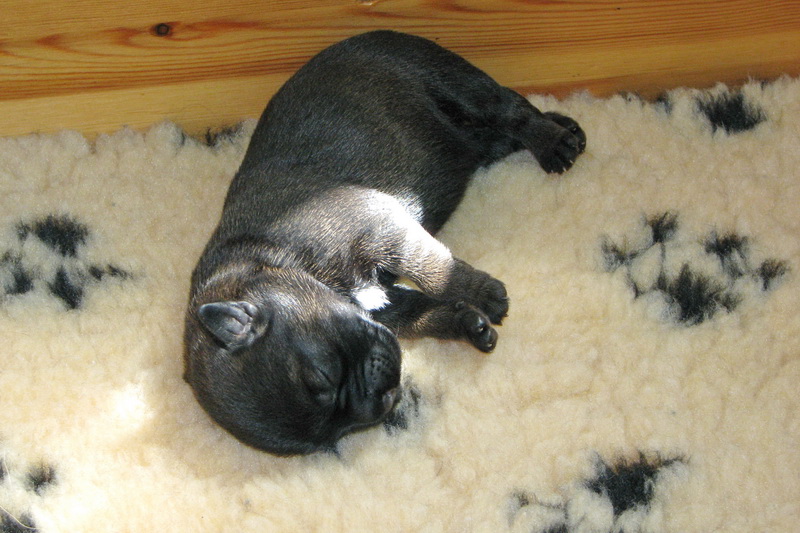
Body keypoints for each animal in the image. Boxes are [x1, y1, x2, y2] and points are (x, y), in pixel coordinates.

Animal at [183, 30, 586, 455]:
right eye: (335, 435)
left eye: (324, 375)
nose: (380, 401)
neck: (270, 259)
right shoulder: (389, 306)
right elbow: (423, 312)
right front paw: (467, 323)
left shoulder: (382, 228)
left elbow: (432, 269)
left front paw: (481, 292)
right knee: (502, 130)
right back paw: (565, 127)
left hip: (456, 83)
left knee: (512, 110)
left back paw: (553, 139)